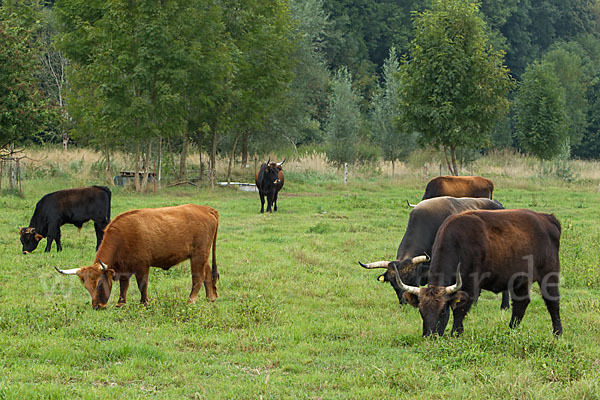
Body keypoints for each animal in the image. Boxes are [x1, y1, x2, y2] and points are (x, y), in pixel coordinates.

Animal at [54, 203, 220, 310]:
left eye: (100, 283)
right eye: (87, 286)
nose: (97, 306)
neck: (122, 236)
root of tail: (206, 209)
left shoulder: (142, 267)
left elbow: (142, 285)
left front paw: (144, 303)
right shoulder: (123, 269)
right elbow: (124, 286)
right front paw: (121, 303)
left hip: (198, 256)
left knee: (198, 277)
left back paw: (191, 300)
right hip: (202, 256)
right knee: (207, 275)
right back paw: (210, 298)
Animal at [394, 209, 564, 338]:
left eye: (442, 311)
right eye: (421, 311)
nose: (430, 336)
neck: (457, 243)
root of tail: (546, 218)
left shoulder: (470, 285)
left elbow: (460, 310)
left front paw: (456, 333)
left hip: (549, 274)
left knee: (552, 301)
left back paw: (557, 333)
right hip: (520, 280)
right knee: (520, 304)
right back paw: (511, 330)